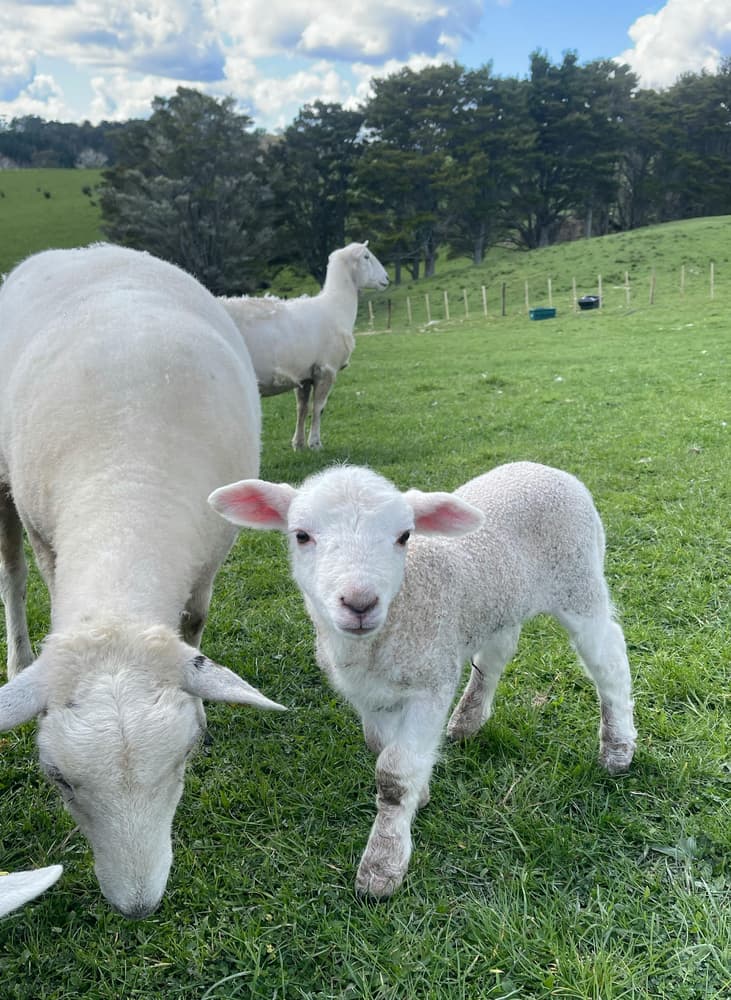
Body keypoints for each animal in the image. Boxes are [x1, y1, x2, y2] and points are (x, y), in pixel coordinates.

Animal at [0, 243, 285, 919]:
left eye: (183, 760)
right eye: (58, 779)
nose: (137, 907)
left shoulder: (211, 554)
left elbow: (194, 624)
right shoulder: (49, 540)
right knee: (12, 574)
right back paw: (17, 658)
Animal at [209, 461, 637, 899]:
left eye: (404, 536)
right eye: (301, 535)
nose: (360, 603)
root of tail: (542, 467)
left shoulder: (430, 683)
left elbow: (394, 774)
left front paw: (382, 865)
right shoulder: (368, 695)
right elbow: (381, 747)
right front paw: (420, 793)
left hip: (578, 582)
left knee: (609, 659)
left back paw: (617, 749)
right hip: (500, 600)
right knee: (496, 655)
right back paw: (468, 720)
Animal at [219, 242, 389, 450]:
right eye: (366, 256)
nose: (387, 279)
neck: (337, 306)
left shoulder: (304, 374)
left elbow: (302, 408)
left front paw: (298, 444)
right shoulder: (326, 369)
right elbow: (318, 408)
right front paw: (315, 443)